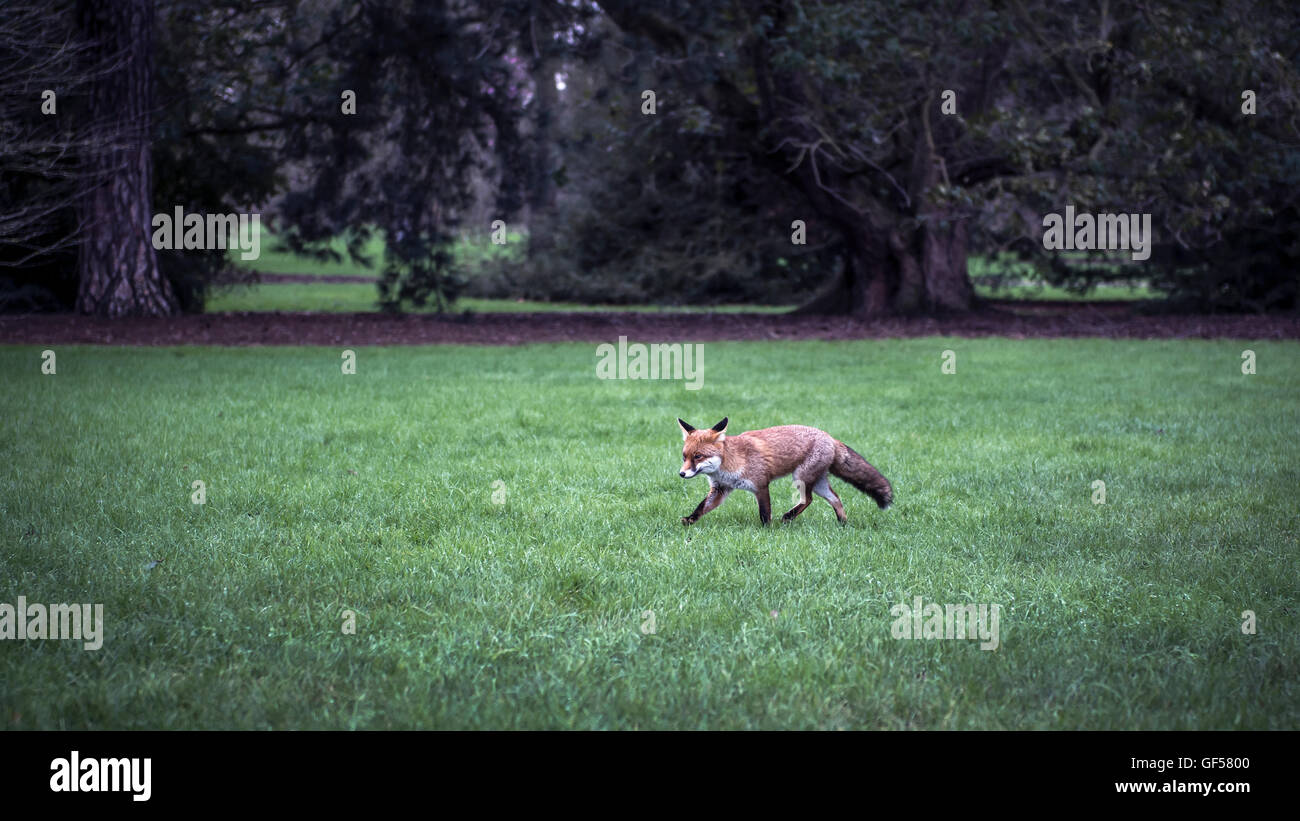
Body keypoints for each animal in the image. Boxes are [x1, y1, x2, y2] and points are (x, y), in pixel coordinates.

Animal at [677, 417, 893, 527]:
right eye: (684, 456)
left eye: (698, 456)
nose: (681, 474)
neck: (729, 463)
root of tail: (830, 437)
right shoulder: (720, 489)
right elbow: (701, 508)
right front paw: (689, 521)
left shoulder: (761, 485)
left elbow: (765, 513)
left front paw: (766, 530)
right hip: (818, 483)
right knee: (836, 499)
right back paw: (842, 523)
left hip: (801, 478)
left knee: (808, 500)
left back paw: (789, 517)